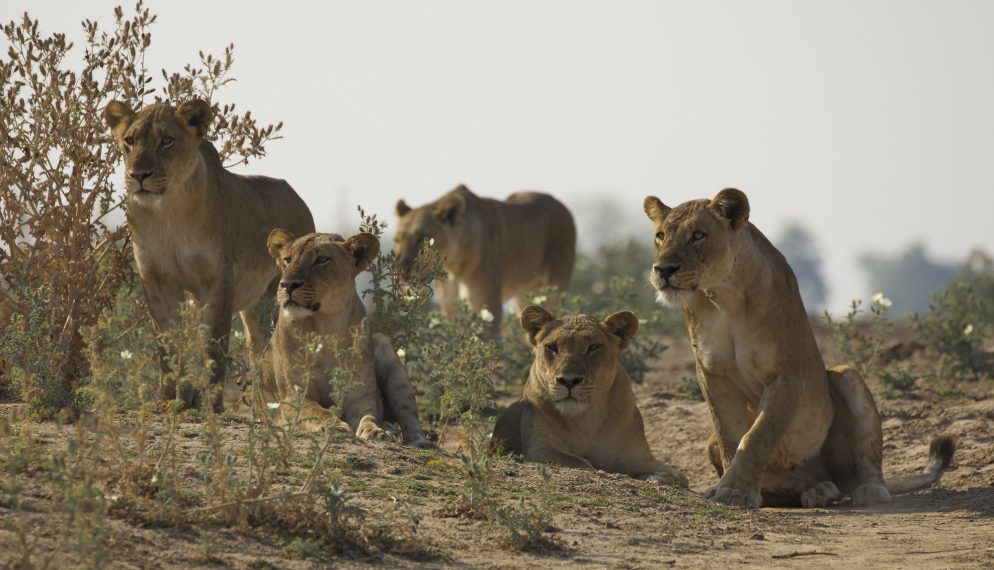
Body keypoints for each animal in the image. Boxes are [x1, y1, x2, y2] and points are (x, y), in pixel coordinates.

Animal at [102, 98, 312, 408]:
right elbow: (168, 344)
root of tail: (299, 199)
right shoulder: (157, 280)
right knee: (256, 348)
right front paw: (170, 400)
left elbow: (213, 345)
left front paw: (212, 404)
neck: (168, 212)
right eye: (130, 141)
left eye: (166, 140)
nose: (138, 175)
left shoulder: (217, 279)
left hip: (277, 300)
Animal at [262, 226, 432, 444]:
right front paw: (333, 426)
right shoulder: (294, 396)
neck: (326, 328)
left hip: (385, 349)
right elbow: (317, 411)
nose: (287, 285)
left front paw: (375, 431)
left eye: (321, 260)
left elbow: (369, 416)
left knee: (410, 420)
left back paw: (415, 440)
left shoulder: (360, 398)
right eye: (287, 259)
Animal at [394, 184, 572, 330]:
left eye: (422, 238)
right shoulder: (451, 309)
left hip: (554, 290)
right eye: (397, 240)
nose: (400, 270)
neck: (454, 266)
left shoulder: (488, 306)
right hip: (525, 295)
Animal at [490, 304, 688, 486]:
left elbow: (680, 476)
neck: (587, 417)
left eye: (593, 347)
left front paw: (659, 477)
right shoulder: (540, 449)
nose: (569, 381)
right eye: (552, 347)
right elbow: (584, 464)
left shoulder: (639, 458)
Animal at [644, 190, 952, 506]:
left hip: (846, 376)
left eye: (698, 235)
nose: (663, 270)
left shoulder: (787, 374)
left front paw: (735, 492)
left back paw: (866, 491)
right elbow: (730, 437)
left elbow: (758, 436)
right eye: (660, 235)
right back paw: (816, 490)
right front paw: (726, 490)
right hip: (712, 444)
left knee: (862, 469)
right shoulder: (713, 376)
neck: (723, 297)